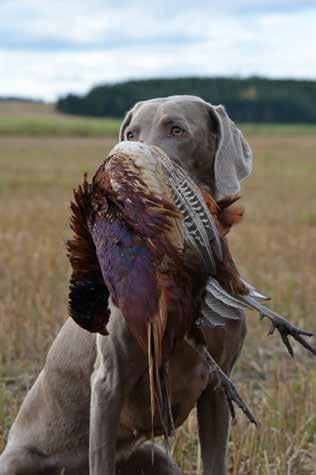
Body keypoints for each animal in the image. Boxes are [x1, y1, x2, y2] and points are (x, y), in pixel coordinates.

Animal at [0, 95, 252, 474]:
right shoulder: (108, 381)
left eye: (177, 129)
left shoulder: (217, 390)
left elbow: (214, 460)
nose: (121, 172)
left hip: (156, 455)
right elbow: (101, 456)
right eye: (131, 132)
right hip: (17, 459)